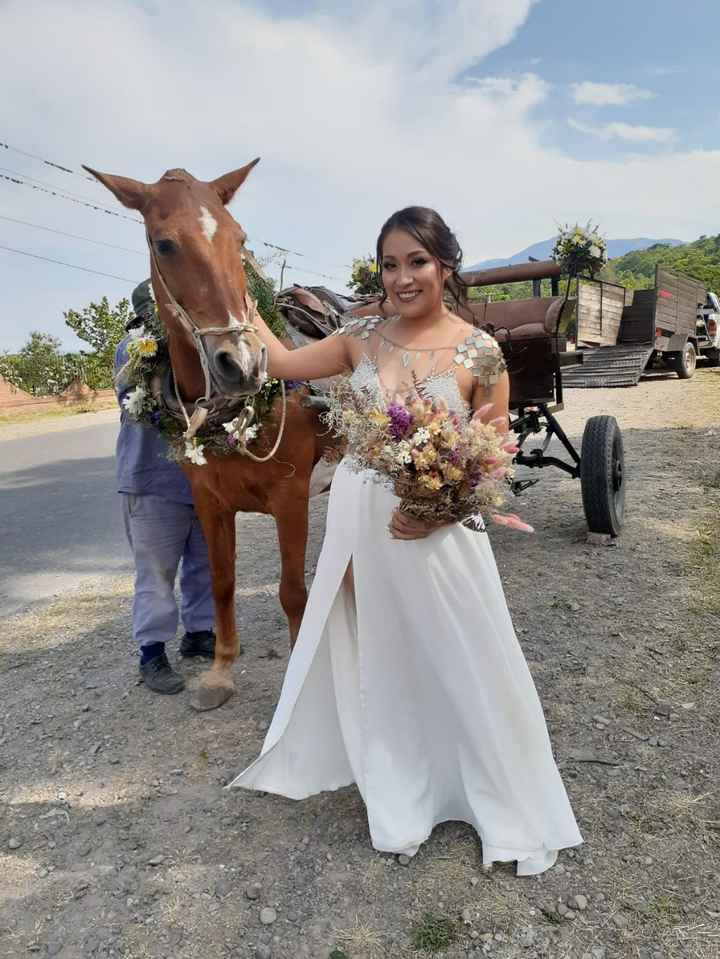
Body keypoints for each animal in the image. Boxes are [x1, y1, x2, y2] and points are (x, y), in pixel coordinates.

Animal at [86, 159, 338, 712]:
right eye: (164, 244)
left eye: (238, 237)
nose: (241, 364)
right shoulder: (209, 501)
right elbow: (221, 582)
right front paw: (221, 669)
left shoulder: (290, 497)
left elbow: (292, 591)